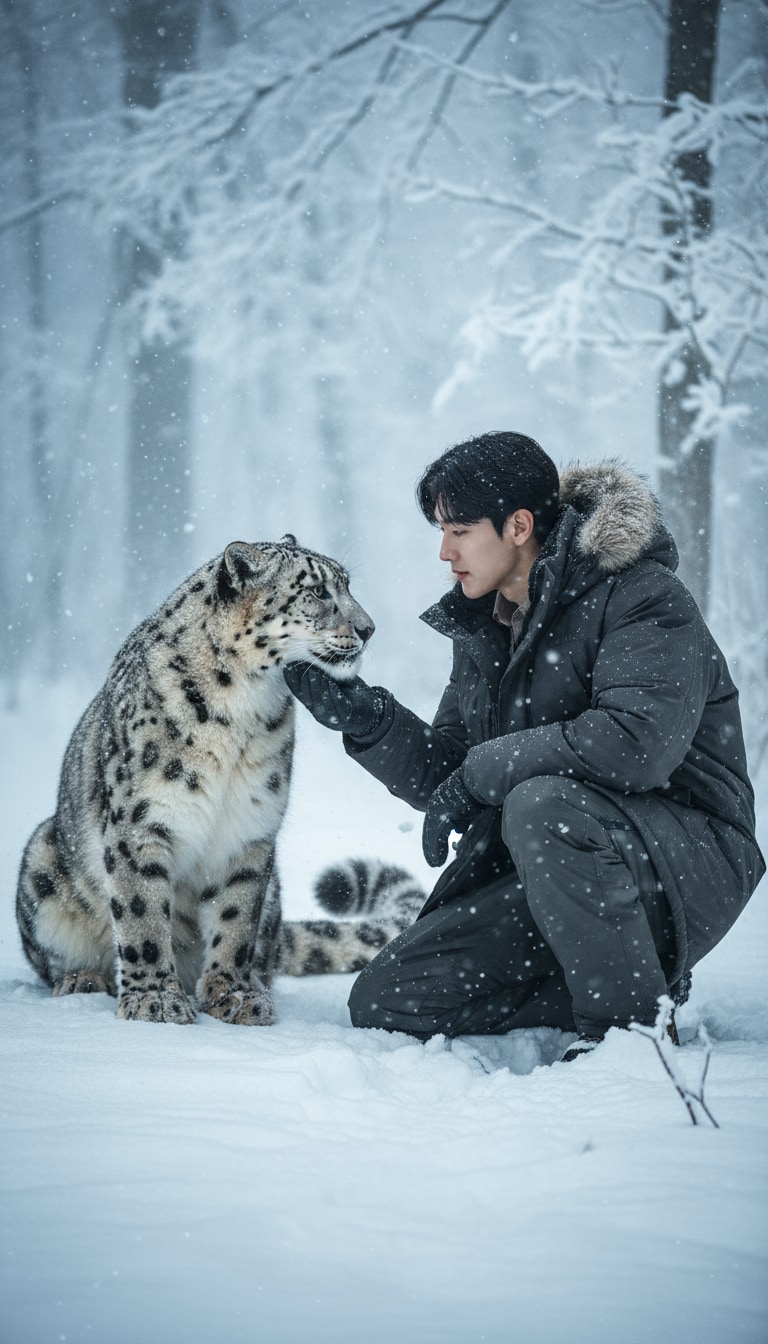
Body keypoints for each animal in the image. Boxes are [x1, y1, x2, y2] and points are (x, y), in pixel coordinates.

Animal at [15, 536, 424, 1025]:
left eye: (347, 585)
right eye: (318, 591)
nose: (368, 629)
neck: (241, 711)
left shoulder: (250, 827)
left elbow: (236, 919)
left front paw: (233, 995)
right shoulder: (140, 824)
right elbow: (142, 915)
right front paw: (155, 1000)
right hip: (42, 861)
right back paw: (82, 979)